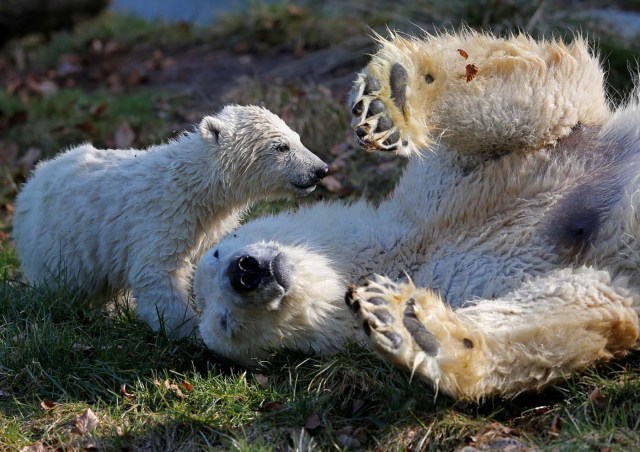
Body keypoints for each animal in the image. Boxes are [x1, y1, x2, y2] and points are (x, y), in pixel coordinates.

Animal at [196, 31, 640, 400]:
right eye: (227, 323)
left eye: (219, 250)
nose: (245, 272)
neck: (402, 248)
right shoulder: (458, 270)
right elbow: (583, 305)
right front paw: (412, 326)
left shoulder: (444, 190)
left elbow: (549, 93)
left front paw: (392, 98)